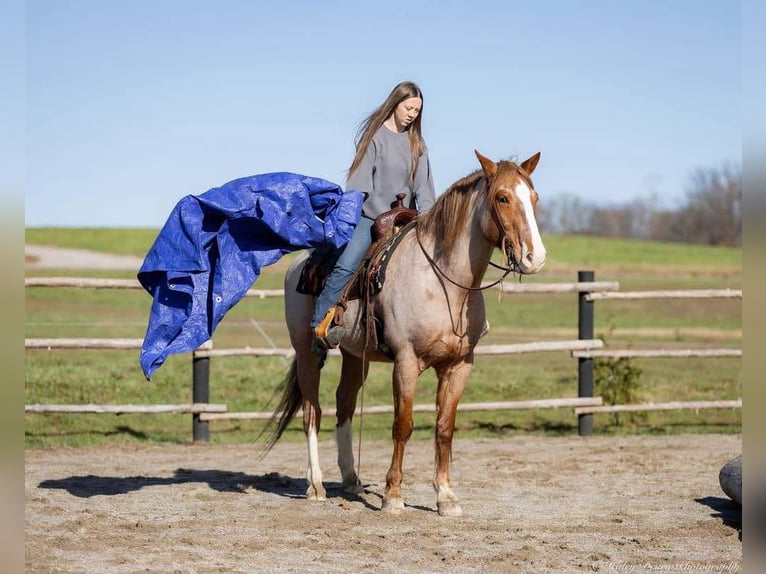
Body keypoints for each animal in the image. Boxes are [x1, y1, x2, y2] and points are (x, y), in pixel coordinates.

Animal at [264, 148, 544, 516]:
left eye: (534, 198)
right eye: (502, 197)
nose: (535, 257)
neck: (444, 284)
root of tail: (301, 263)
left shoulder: (459, 366)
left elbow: (444, 428)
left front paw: (446, 496)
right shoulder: (406, 362)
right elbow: (403, 425)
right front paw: (393, 495)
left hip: (355, 356)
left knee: (344, 404)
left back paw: (351, 478)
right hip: (307, 351)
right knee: (313, 411)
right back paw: (316, 485)